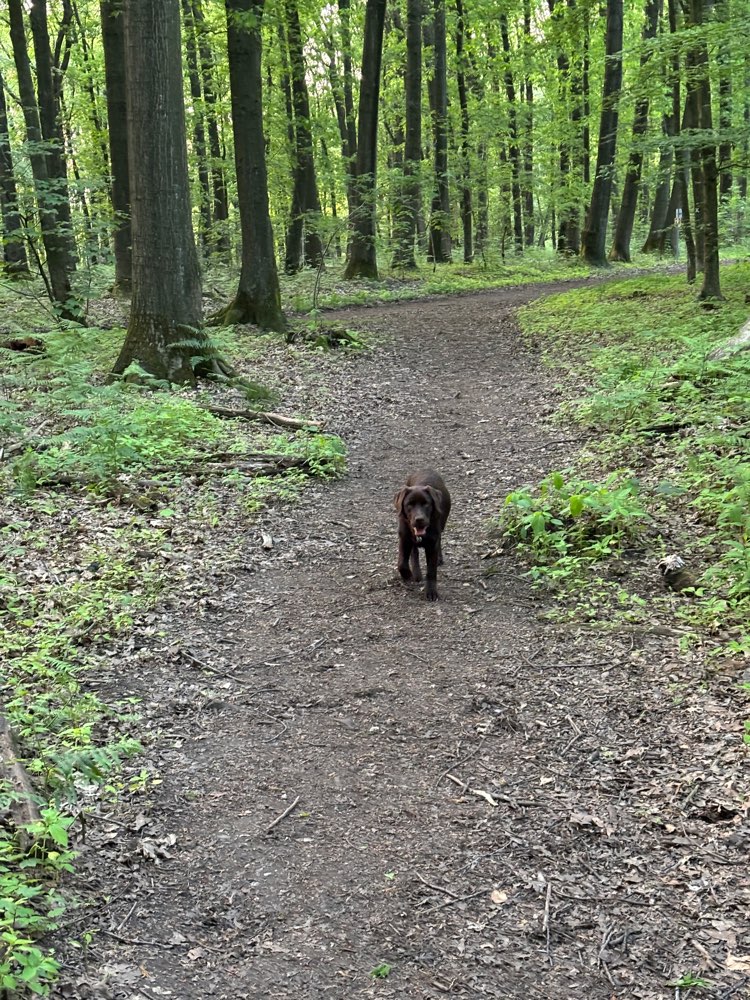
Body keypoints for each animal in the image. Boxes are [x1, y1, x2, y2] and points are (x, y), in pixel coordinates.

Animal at [394, 470, 452, 600]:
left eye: (426, 504)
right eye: (409, 504)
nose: (419, 519)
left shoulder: (432, 544)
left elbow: (431, 571)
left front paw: (431, 592)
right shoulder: (404, 539)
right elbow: (402, 564)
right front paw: (408, 575)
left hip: (442, 524)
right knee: (414, 551)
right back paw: (416, 573)